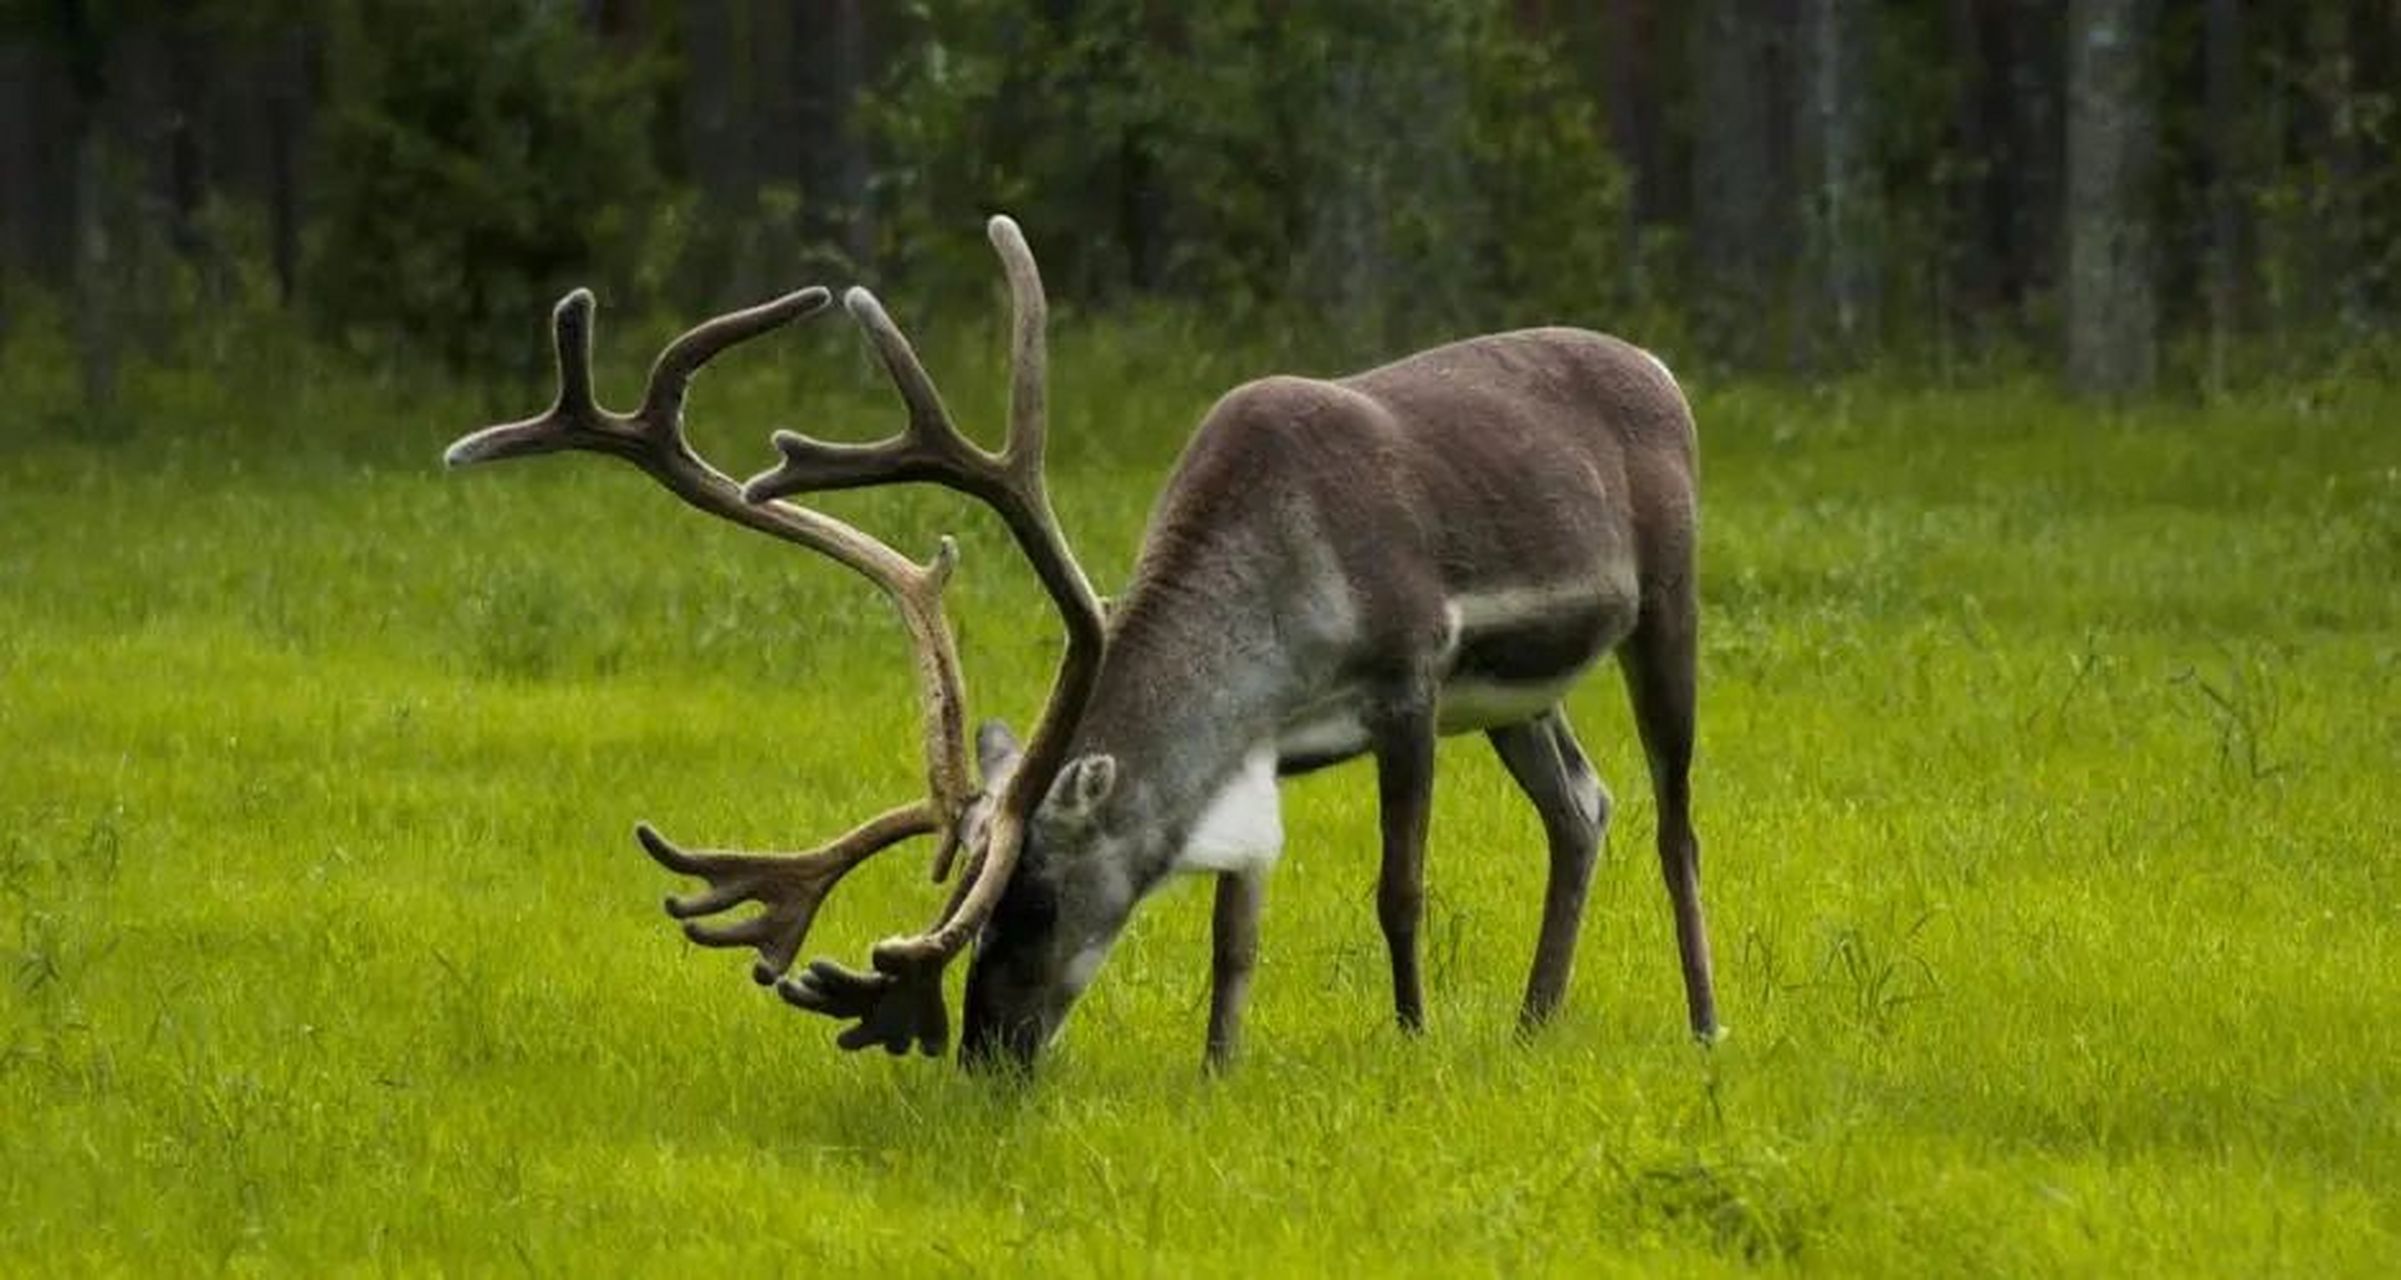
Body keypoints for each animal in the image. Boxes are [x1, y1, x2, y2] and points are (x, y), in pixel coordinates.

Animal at [451, 217, 1719, 1066]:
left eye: (1039, 901)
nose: (987, 1053)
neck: (1282, 608)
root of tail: (1662, 367)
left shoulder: (1411, 670)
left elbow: (1396, 888)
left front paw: (1407, 1041)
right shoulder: (1267, 743)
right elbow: (1234, 924)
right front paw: (1218, 1067)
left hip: (1667, 593)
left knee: (1671, 817)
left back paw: (1704, 1022)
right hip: (1521, 695)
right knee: (1582, 804)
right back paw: (1533, 1020)